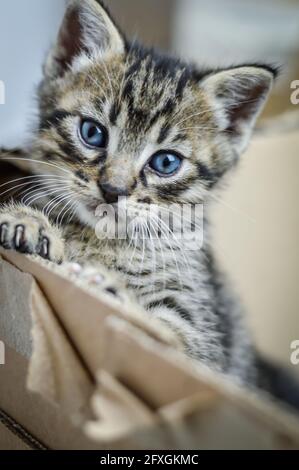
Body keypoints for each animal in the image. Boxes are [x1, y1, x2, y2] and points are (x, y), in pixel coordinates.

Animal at [0, 0, 286, 392]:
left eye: (166, 162)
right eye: (92, 132)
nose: (113, 189)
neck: (102, 239)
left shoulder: (202, 340)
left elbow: (172, 341)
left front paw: (115, 295)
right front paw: (27, 221)